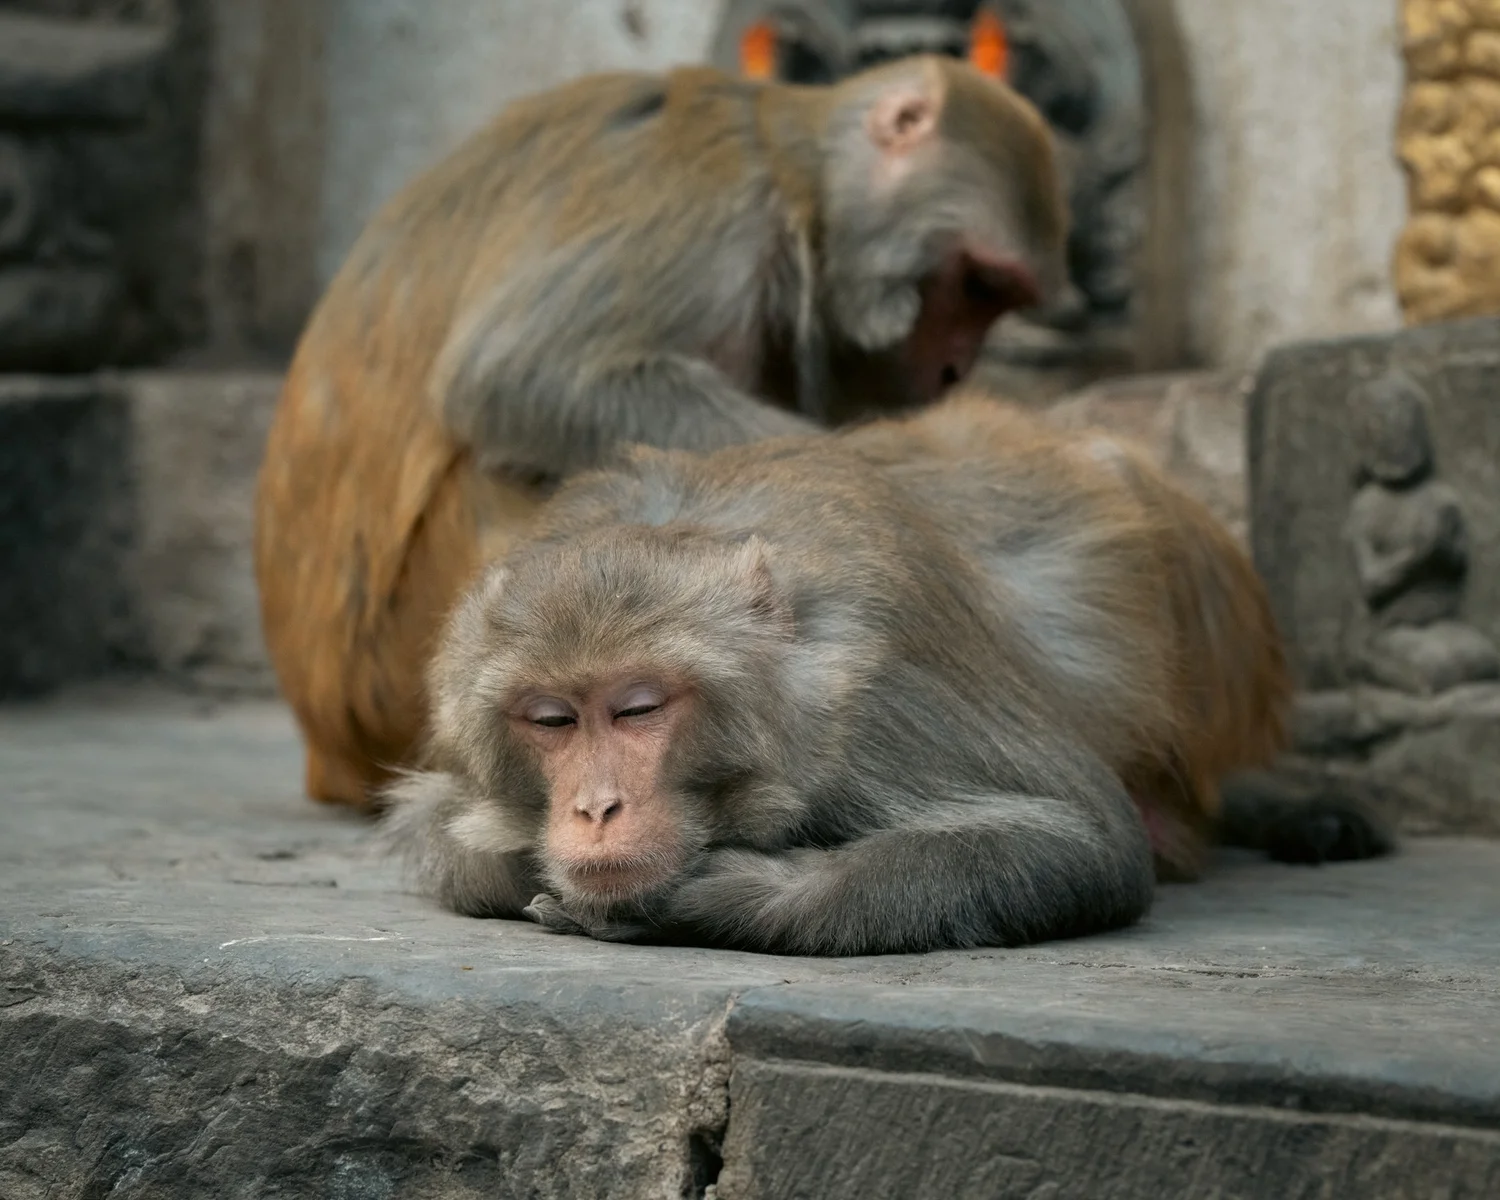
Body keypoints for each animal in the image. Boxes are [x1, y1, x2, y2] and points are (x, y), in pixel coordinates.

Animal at [253, 55, 1069, 812]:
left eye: (999, 298)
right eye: (978, 284)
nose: (956, 370)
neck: (788, 168)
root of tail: (326, 747)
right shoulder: (714, 200)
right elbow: (523, 373)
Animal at [377, 392, 1384, 956]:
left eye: (637, 709)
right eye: (551, 719)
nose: (594, 809)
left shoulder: (878, 712)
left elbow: (1082, 841)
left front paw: (717, 898)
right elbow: (446, 835)